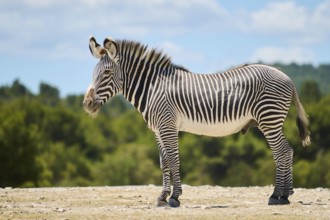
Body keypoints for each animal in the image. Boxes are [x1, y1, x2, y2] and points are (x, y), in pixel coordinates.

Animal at [82, 36, 310, 208]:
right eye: (92, 74)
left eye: (107, 73)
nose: (87, 104)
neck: (153, 88)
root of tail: (287, 77)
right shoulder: (157, 130)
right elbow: (164, 163)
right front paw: (162, 197)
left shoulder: (168, 126)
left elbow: (174, 160)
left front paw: (175, 197)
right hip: (272, 120)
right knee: (286, 151)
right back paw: (285, 195)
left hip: (269, 119)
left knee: (282, 152)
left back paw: (276, 195)